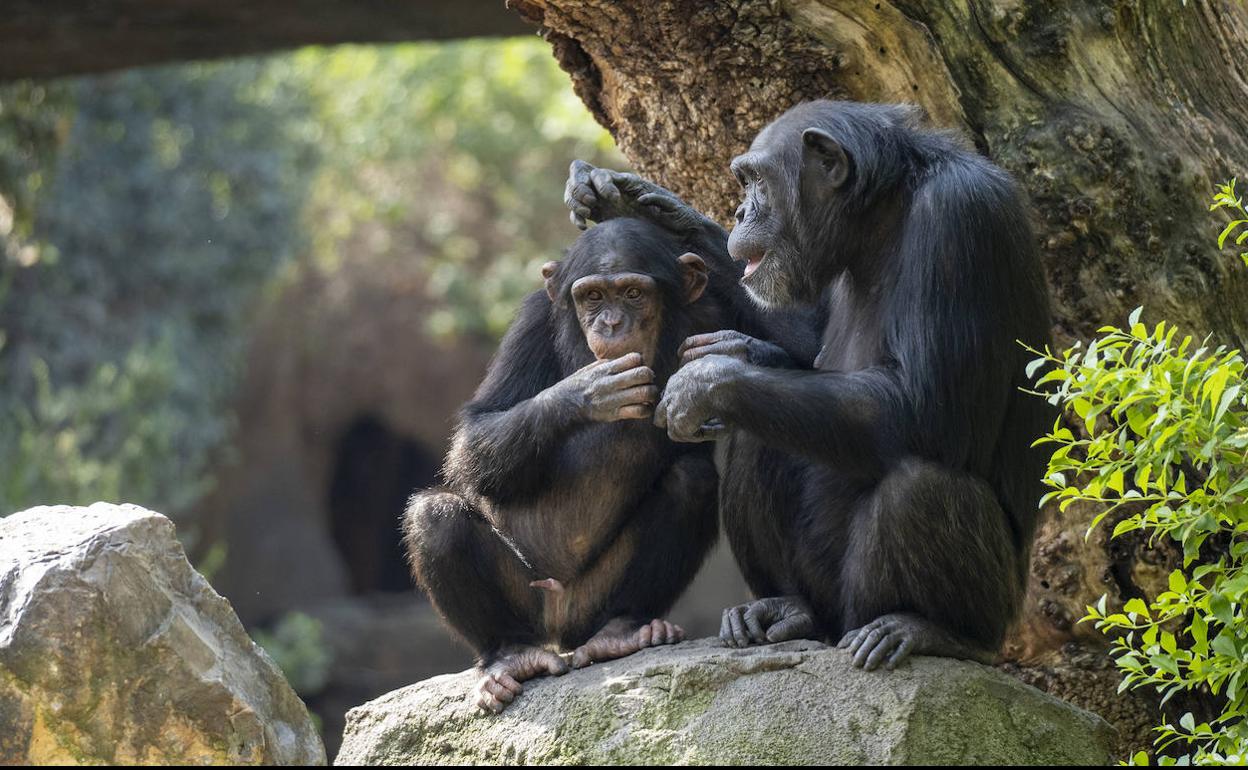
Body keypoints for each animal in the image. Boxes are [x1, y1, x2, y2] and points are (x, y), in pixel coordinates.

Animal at [404, 214, 783, 708]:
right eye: (593, 297)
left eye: (633, 293)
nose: (611, 322)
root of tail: (560, 628)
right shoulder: (532, 324)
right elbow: (475, 434)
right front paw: (587, 391)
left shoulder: (712, 316)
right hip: (530, 599)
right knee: (436, 515)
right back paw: (508, 655)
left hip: (591, 602)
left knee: (691, 480)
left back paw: (621, 631)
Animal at [571, 102, 1058, 673]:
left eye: (758, 181)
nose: (740, 211)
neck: (881, 220)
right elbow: (807, 343)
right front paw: (638, 204)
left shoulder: (959, 219)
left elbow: (928, 408)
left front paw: (706, 380)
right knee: (759, 435)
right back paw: (788, 610)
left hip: (977, 612)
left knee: (920, 488)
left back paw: (930, 630)